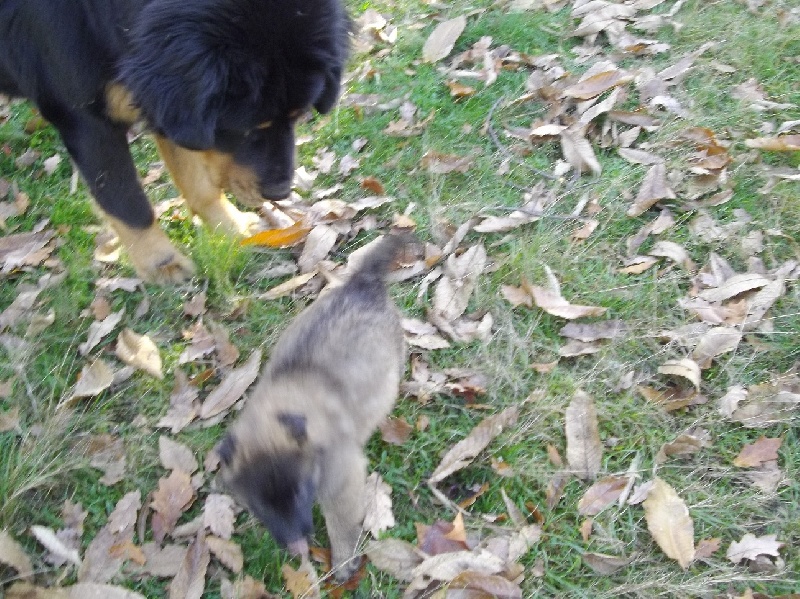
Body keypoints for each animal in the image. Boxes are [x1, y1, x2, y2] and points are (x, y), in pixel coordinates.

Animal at [0, 0, 349, 283]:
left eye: (299, 115)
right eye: (247, 129)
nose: (279, 193)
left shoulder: (166, 101)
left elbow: (199, 183)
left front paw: (231, 227)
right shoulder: (86, 118)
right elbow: (127, 202)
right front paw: (161, 263)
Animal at [217, 235, 408, 581]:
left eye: (299, 494)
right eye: (261, 505)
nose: (296, 545)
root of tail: (361, 282)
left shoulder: (342, 480)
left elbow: (341, 523)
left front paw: (344, 562)